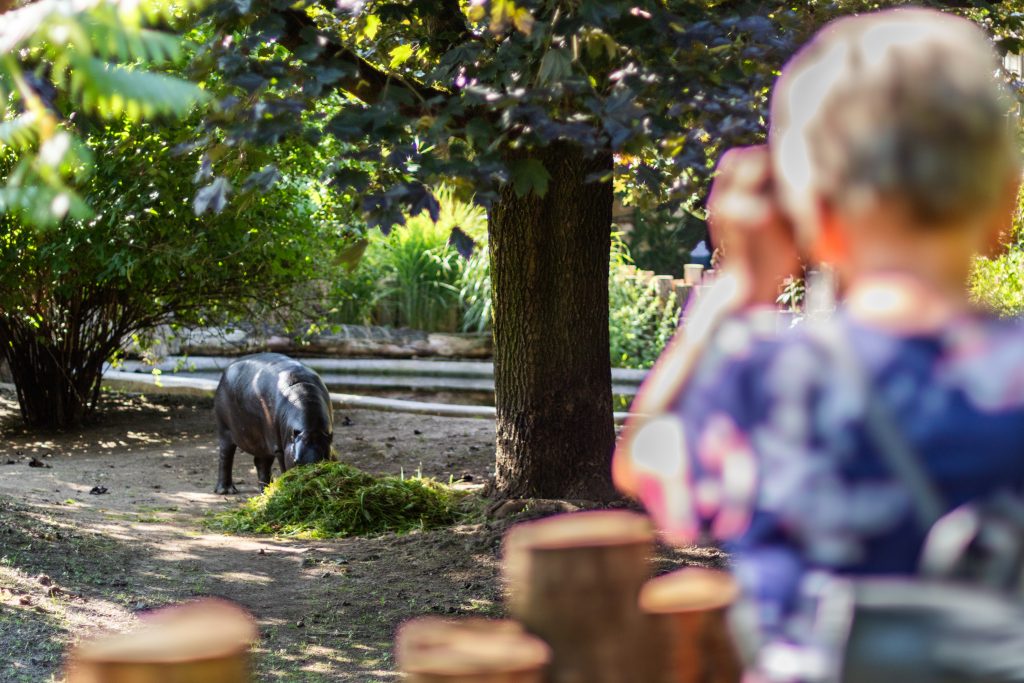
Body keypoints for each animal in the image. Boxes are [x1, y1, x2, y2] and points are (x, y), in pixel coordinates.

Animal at [214, 356, 333, 493]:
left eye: (326, 460)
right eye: (296, 461)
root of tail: (227, 368)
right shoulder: (280, 448)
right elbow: (284, 467)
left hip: (263, 441)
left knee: (261, 462)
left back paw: (265, 491)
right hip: (225, 430)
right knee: (225, 457)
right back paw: (226, 490)